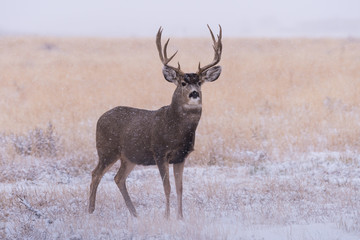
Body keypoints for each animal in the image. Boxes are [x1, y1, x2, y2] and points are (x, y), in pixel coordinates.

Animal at [88, 24, 222, 219]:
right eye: (182, 83)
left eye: (200, 82)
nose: (194, 94)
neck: (176, 130)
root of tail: (100, 118)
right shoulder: (160, 152)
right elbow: (167, 188)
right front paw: (166, 217)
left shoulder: (181, 156)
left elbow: (180, 188)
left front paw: (180, 217)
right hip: (107, 150)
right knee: (95, 174)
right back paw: (90, 211)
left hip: (129, 156)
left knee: (118, 178)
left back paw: (135, 214)